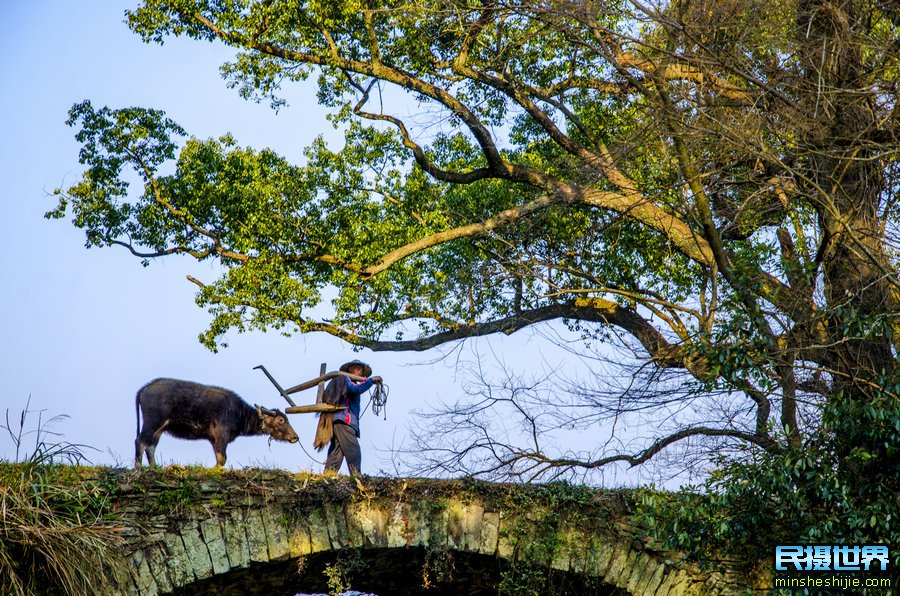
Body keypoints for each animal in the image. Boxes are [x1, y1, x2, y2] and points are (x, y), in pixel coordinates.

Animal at [134, 380, 298, 468]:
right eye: (281, 420)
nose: (295, 437)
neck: (240, 413)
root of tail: (145, 388)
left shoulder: (213, 439)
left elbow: (219, 458)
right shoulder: (221, 435)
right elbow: (222, 459)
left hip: (159, 429)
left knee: (150, 446)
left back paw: (155, 468)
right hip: (152, 422)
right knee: (140, 441)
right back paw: (139, 468)